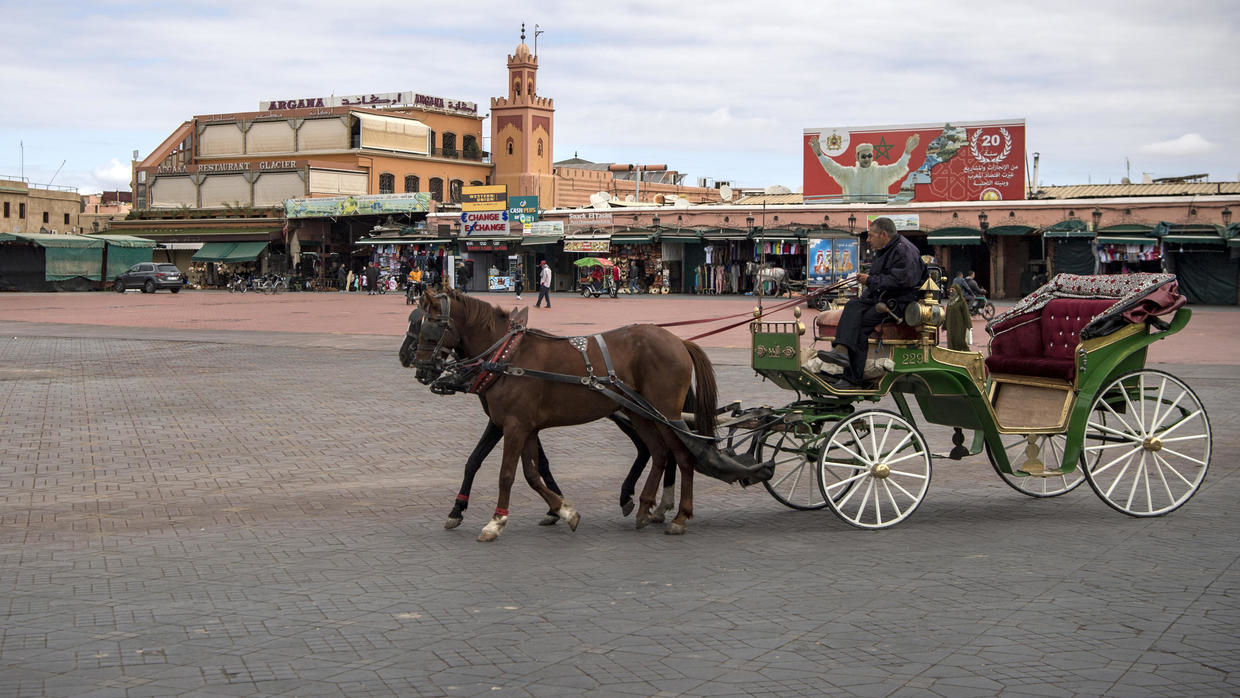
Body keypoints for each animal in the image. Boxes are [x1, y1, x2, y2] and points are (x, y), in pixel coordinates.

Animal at [411, 286, 719, 543]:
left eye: (431, 325)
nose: (420, 368)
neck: (507, 356)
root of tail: (679, 341)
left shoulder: (514, 426)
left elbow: (507, 474)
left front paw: (496, 521)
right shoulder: (526, 427)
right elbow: (532, 474)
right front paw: (563, 510)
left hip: (666, 413)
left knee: (683, 457)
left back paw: (679, 516)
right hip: (641, 414)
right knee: (659, 453)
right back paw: (645, 507)